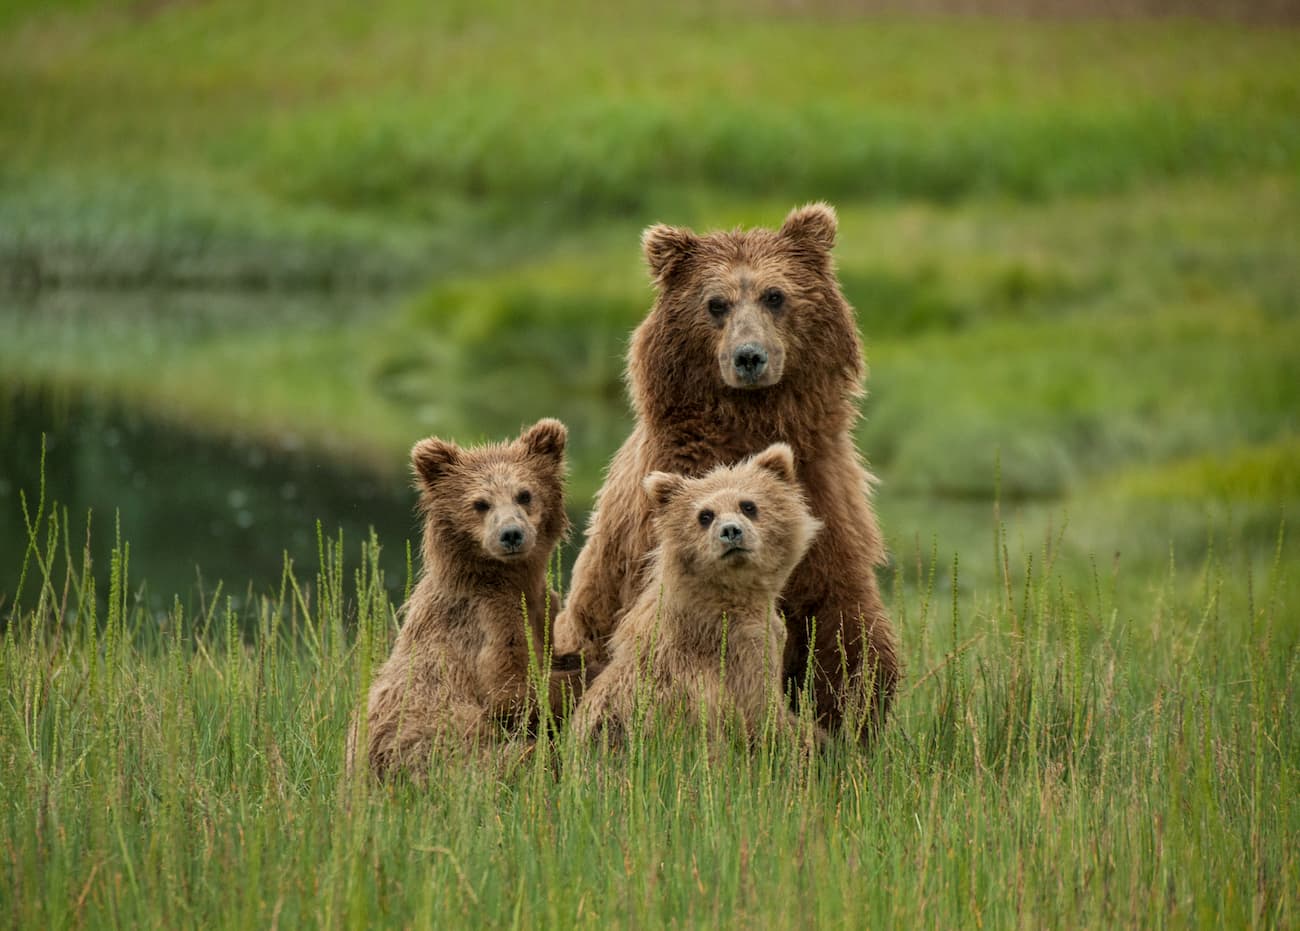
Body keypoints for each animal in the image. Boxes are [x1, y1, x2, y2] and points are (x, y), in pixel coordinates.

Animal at [363, 418, 587, 780]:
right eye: (481, 503)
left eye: (525, 494)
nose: (511, 534)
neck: (508, 579)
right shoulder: (487, 618)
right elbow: (509, 692)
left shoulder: (542, 607)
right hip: (439, 754)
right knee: (514, 756)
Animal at [570, 444, 827, 748]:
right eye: (705, 515)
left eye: (748, 505)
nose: (731, 531)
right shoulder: (737, 647)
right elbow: (762, 711)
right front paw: (812, 739)